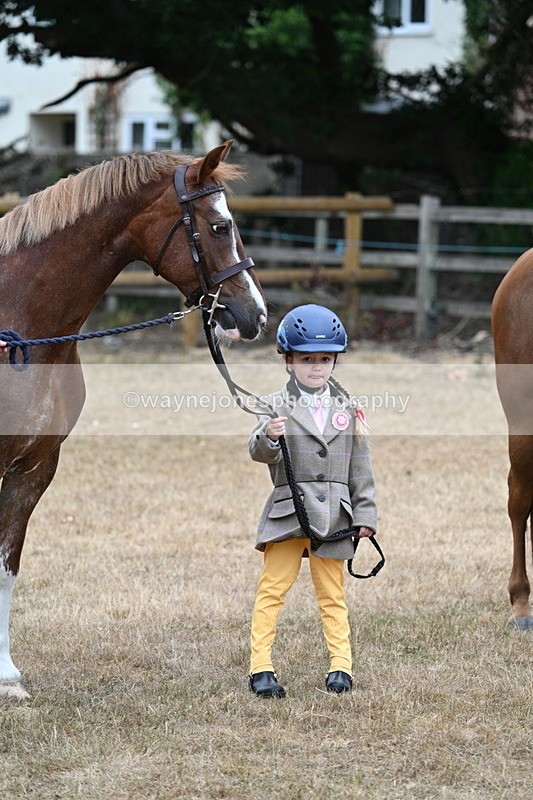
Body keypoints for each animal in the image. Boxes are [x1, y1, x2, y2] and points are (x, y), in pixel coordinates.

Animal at [0, 139, 267, 697]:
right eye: (219, 227)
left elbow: (5, 567)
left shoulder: (33, 469)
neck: (22, 325)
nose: (255, 315)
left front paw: (6, 676)